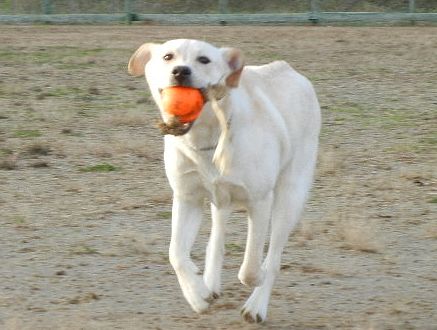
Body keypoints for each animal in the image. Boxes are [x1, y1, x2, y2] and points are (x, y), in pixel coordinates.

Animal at [127, 38, 318, 322]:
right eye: (168, 56)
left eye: (204, 60)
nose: (180, 72)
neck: (206, 138)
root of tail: (289, 69)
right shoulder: (188, 199)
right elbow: (176, 254)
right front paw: (198, 295)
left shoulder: (260, 202)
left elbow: (251, 267)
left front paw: (255, 280)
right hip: (220, 200)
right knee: (215, 241)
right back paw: (210, 283)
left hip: (289, 198)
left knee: (273, 256)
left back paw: (256, 306)